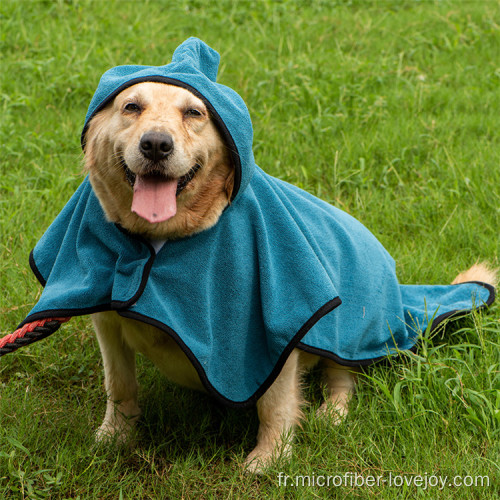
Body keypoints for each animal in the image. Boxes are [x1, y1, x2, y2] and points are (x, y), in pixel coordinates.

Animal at [82, 79, 496, 472]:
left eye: (194, 112)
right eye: (131, 106)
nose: (156, 144)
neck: (163, 238)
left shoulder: (277, 334)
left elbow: (275, 404)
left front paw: (270, 458)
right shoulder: (107, 324)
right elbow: (119, 385)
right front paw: (114, 437)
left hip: (347, 326)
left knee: (343, 378)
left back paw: (332, 413)